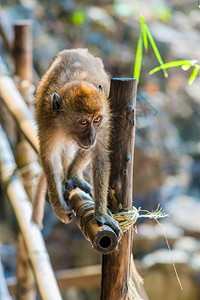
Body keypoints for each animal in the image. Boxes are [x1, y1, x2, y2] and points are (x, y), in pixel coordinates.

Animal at [32, 48, 121, 237]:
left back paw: (73, 175)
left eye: (96, 119)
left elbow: (100, 156)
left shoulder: (104, 122)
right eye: (83, 122)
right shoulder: (47, 121)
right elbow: (49, 157)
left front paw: (101, 213)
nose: (91, 137)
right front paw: (58, 206)